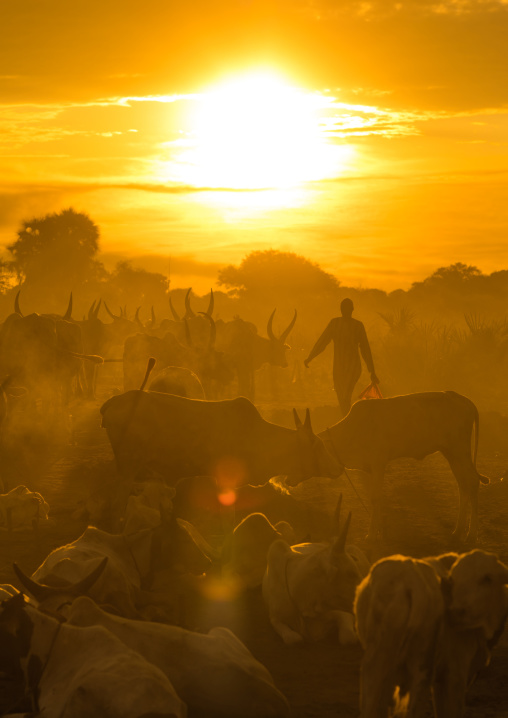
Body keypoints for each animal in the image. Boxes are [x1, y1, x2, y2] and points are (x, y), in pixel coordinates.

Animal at [318, 391, 490, 543]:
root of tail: (462, 399)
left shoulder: (378, 463)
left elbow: (375, 497)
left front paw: (372, 535)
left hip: (460, 450)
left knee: (472, 481)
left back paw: (471, 534)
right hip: (451, 453)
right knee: (463, 485)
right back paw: (458, 531)